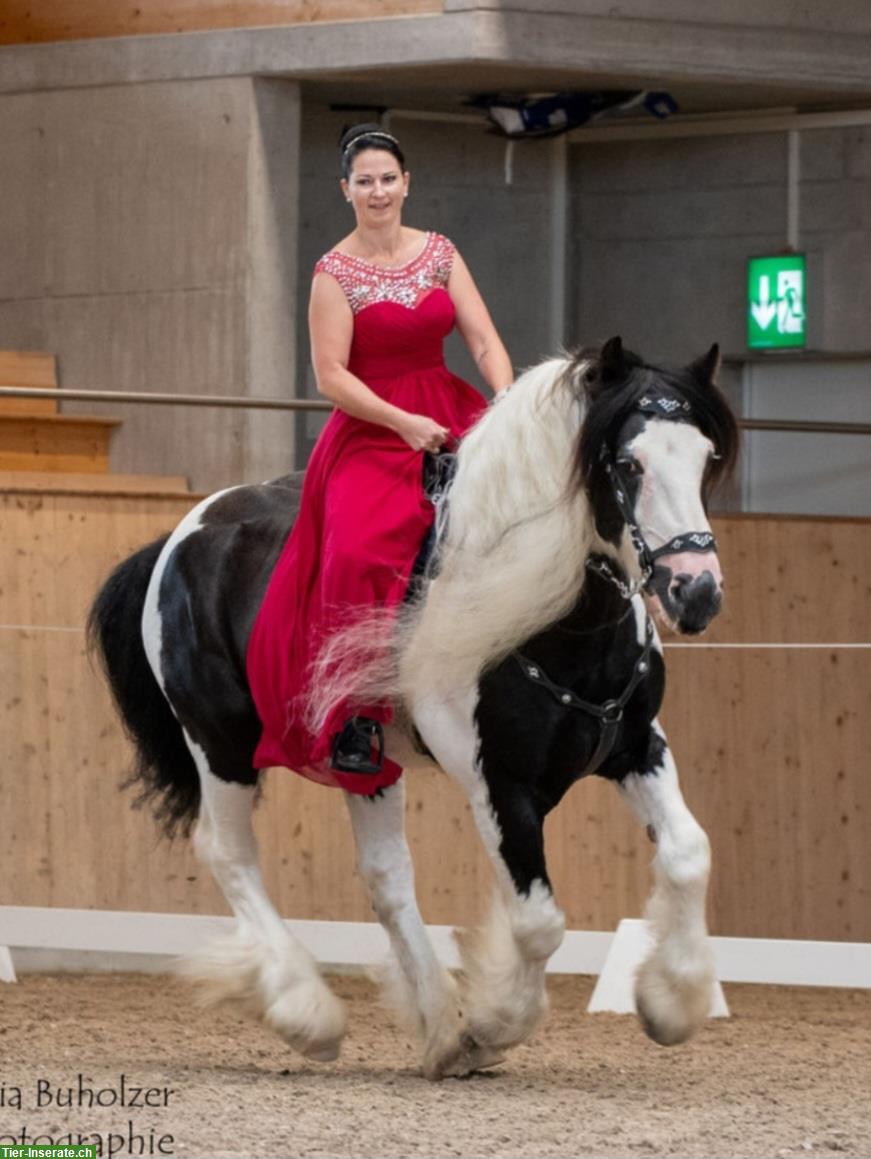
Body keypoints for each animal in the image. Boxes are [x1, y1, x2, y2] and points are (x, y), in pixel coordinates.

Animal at [88, 336, 736, 1075]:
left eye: (704, 458)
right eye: (628, 463)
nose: (695, 591)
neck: (549, 613)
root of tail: (182, 534)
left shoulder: (636, 748)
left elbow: (687, 852)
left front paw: (671, 1002)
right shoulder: (500, 785)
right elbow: (537, 922)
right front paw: (493, 1023)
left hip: (366, 762)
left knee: (386, 876)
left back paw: (436, 1023)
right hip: (220, 743)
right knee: (229, 852)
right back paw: (306, 1011)